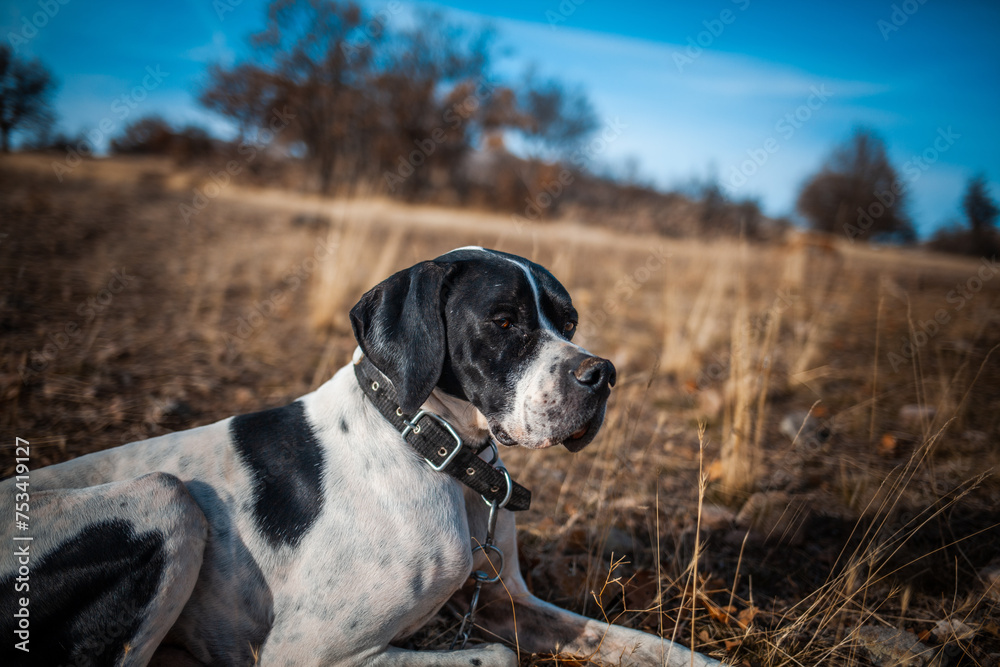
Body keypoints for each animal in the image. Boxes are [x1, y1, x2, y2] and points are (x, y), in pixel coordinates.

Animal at [0, 248, 720, 664]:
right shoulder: (302, 653)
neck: (432, 447)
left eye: (568, 322)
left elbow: (643, 643)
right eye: (504, 321)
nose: (603, 375)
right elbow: (492, 658)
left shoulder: (503, 602)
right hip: (165, 497)